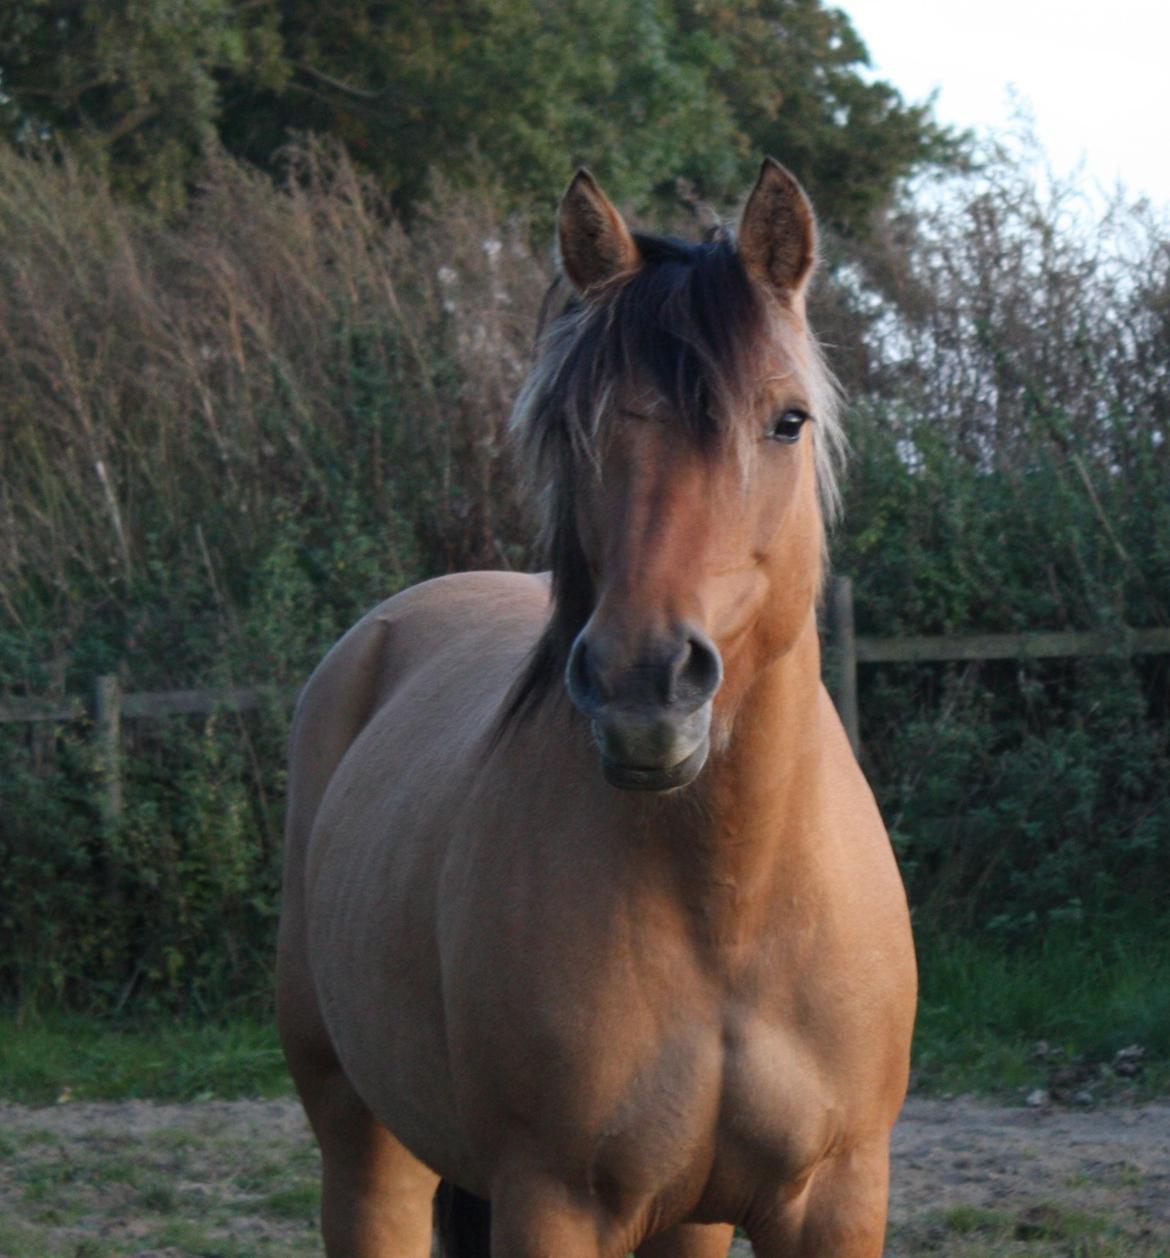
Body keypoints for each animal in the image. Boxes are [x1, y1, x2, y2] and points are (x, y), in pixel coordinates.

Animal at [278, 159, 915, 1258]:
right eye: (573, 424)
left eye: (788, 419)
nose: (642, 683)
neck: (731, 900)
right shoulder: (552, 1199)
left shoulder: (834, 1196)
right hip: (363, 1139)